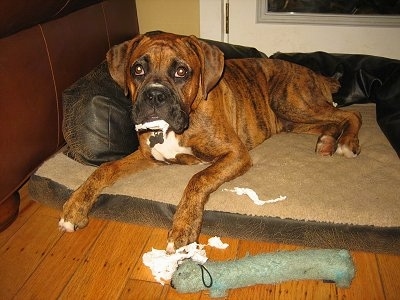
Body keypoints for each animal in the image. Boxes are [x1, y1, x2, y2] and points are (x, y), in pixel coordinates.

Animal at [59, 32, 362, 253]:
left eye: (182, 72)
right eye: (137, 69)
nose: (155, 95)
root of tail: (317, 74)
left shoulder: (236, 154)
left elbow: (198, 179)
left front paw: (183, 227)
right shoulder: (148, 156)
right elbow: (104, 169)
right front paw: (74, 208)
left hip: (290, 101)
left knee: (351, 114)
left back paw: (346, 143)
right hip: (291, 119)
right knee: (330, 122)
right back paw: (327, 142)